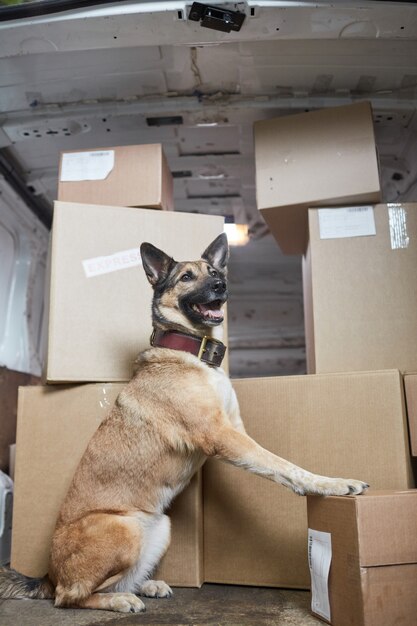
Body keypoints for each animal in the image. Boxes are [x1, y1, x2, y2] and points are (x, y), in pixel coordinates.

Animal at [0, 233, 366, 608]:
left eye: (215, 271)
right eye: (186, 277)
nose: (221, 285)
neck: (194, 353)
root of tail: (48, 574)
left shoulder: (236, 430)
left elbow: (275, 461)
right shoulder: (221, 435)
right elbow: (285, 465)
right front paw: (331, 484)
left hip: (161, 527)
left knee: (110, 583)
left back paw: (145, 586)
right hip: (124, 530)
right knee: (71, 596)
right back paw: (118, 601)